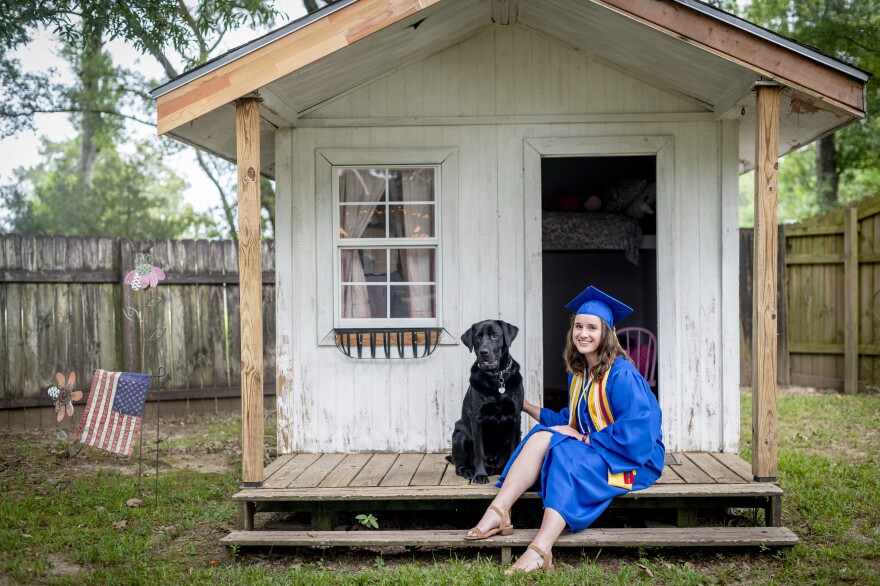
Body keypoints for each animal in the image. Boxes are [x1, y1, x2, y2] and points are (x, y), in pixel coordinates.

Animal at [446, 322, 524, 482]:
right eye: (477, 337)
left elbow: (514, 450)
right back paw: (469, 471)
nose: (484, 352)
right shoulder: (477, 419)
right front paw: (480, 475)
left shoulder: (515, 418)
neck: (496, 377)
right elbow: (479, 451)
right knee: (459, 466)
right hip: (459, 435)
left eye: (495, 335)